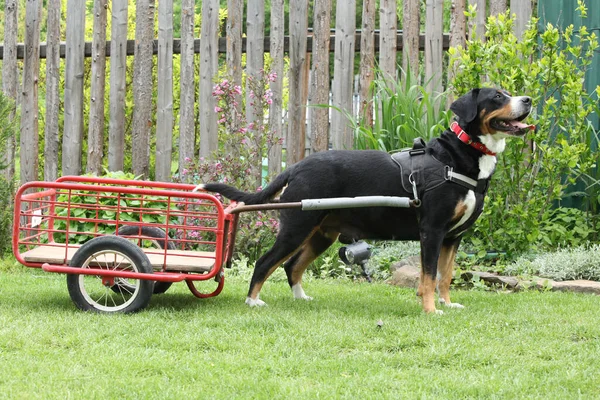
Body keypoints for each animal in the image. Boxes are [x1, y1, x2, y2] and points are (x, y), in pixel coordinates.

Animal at [199, 89, 532, 314]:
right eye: (497, 96)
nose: (528, 100)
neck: (457, 157)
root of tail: (298, 165)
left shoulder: (453, 237)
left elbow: (445, 276)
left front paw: (447, 305)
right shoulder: (433, 232)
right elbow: (427, 277)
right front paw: (430, 310)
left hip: (321, 234)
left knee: (292, 266)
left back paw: (300, 298)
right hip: (297, 226)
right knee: (265, 262)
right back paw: (252, 301)